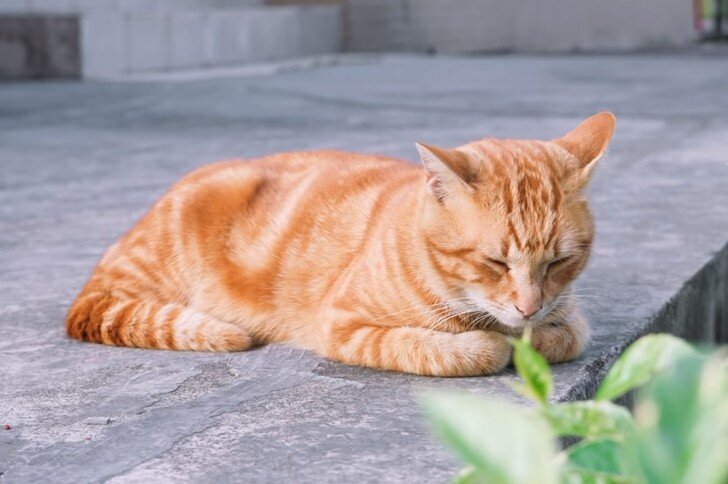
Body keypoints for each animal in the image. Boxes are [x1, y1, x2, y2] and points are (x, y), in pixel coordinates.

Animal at [67, 111, 616, 376]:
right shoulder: (345, 324)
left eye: (561, 261)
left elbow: (567, 334)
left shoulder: (569, 312)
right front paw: (495, 344)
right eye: (494, 261)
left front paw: (527, 336)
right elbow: (443, 348)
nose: (528, 306)